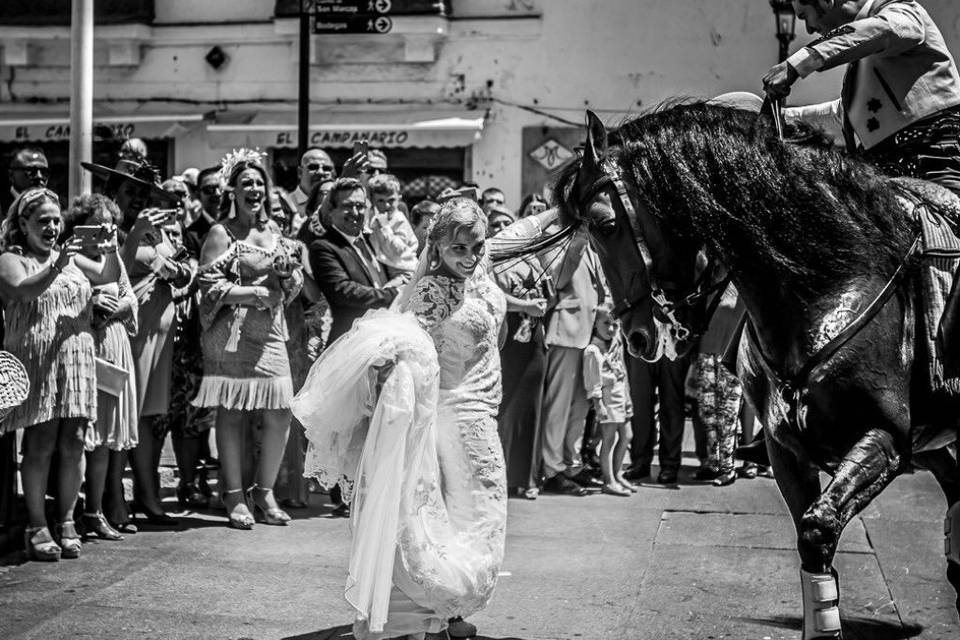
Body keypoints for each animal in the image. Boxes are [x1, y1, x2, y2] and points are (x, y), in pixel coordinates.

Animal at [556, 102, 960, 636]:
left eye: (604, 224)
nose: (637, 337)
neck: (831, 281)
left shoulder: (888, 438)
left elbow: (818, 528)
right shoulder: (785, 449)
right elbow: (812, 548)